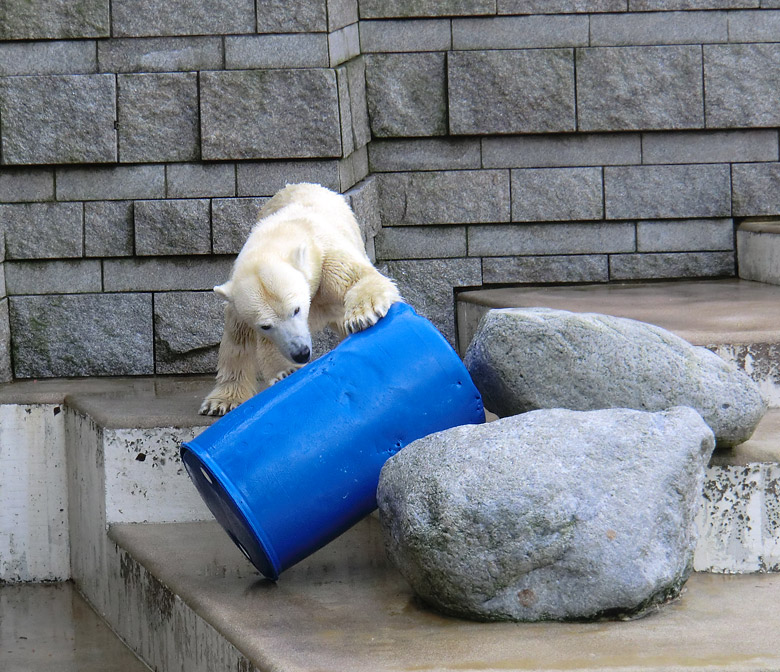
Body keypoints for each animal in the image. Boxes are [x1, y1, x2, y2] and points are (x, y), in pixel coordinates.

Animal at [200, 182, 402, 414]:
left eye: (296, 310)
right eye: (265, 326)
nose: (301, 353)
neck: (281, 233)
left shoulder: (326, 260)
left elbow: (359, 278)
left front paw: (363, 316)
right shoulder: (238, 302)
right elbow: (240, 341)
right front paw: (223, 401)